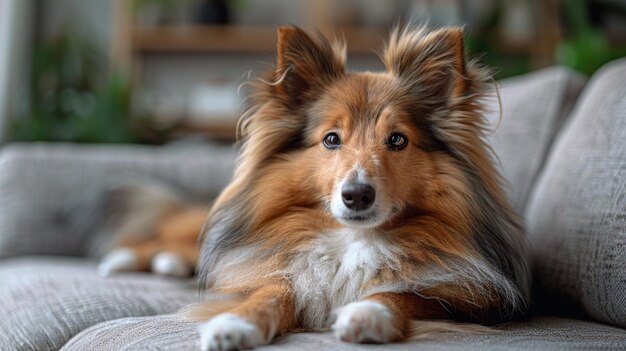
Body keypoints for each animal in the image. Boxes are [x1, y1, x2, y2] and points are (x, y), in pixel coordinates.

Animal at [96, 24, 528, 350]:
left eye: (397, 140)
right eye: (331, 139)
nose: (356, 196)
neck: (352, 240)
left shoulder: (469, 300)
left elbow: (403, 294)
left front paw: (367, 313)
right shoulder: (277, 272)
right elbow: (270, 291)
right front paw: (234, 324)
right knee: (160, 236)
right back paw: (124, 259)